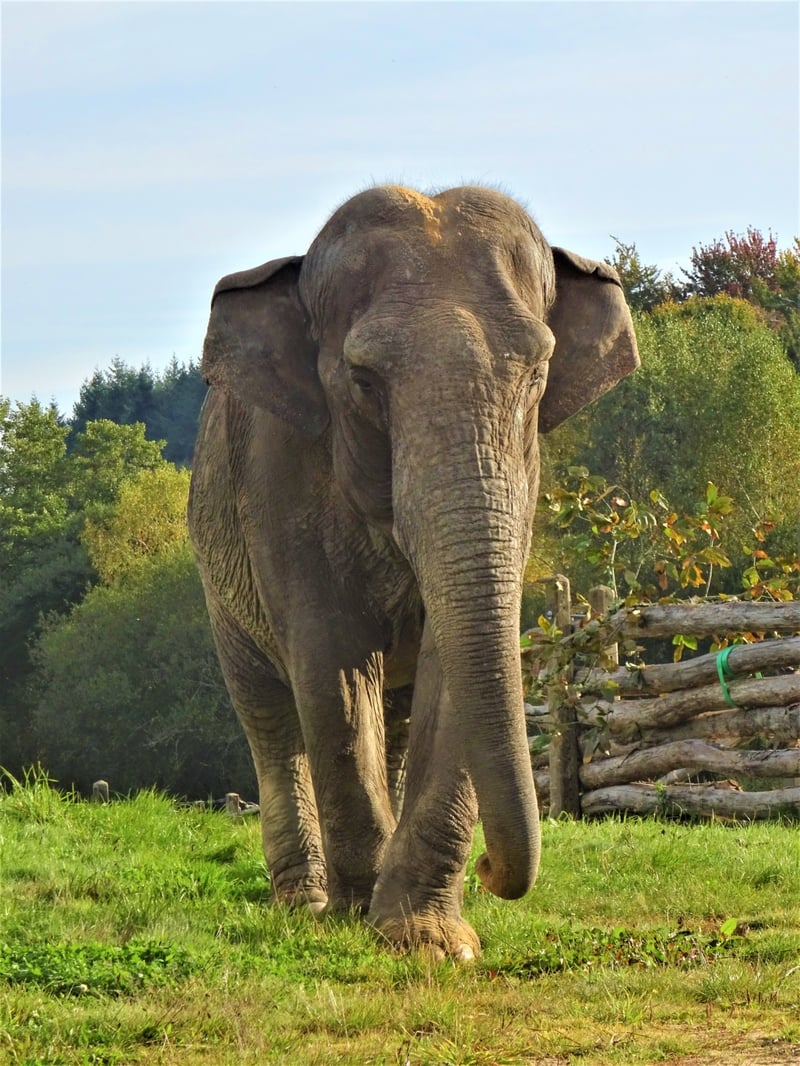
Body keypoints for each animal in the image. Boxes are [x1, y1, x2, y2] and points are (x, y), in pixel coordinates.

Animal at [187, 183, 640, 959]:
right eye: (364, 379)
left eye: (538, 375)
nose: (491, 869)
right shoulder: (282, 480)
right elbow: (333, 670)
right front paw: (358, 917)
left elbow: (450, 665)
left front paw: (425, 938)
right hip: (219, 574)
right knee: (269, 714)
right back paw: (304, 901)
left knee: (391, 718)